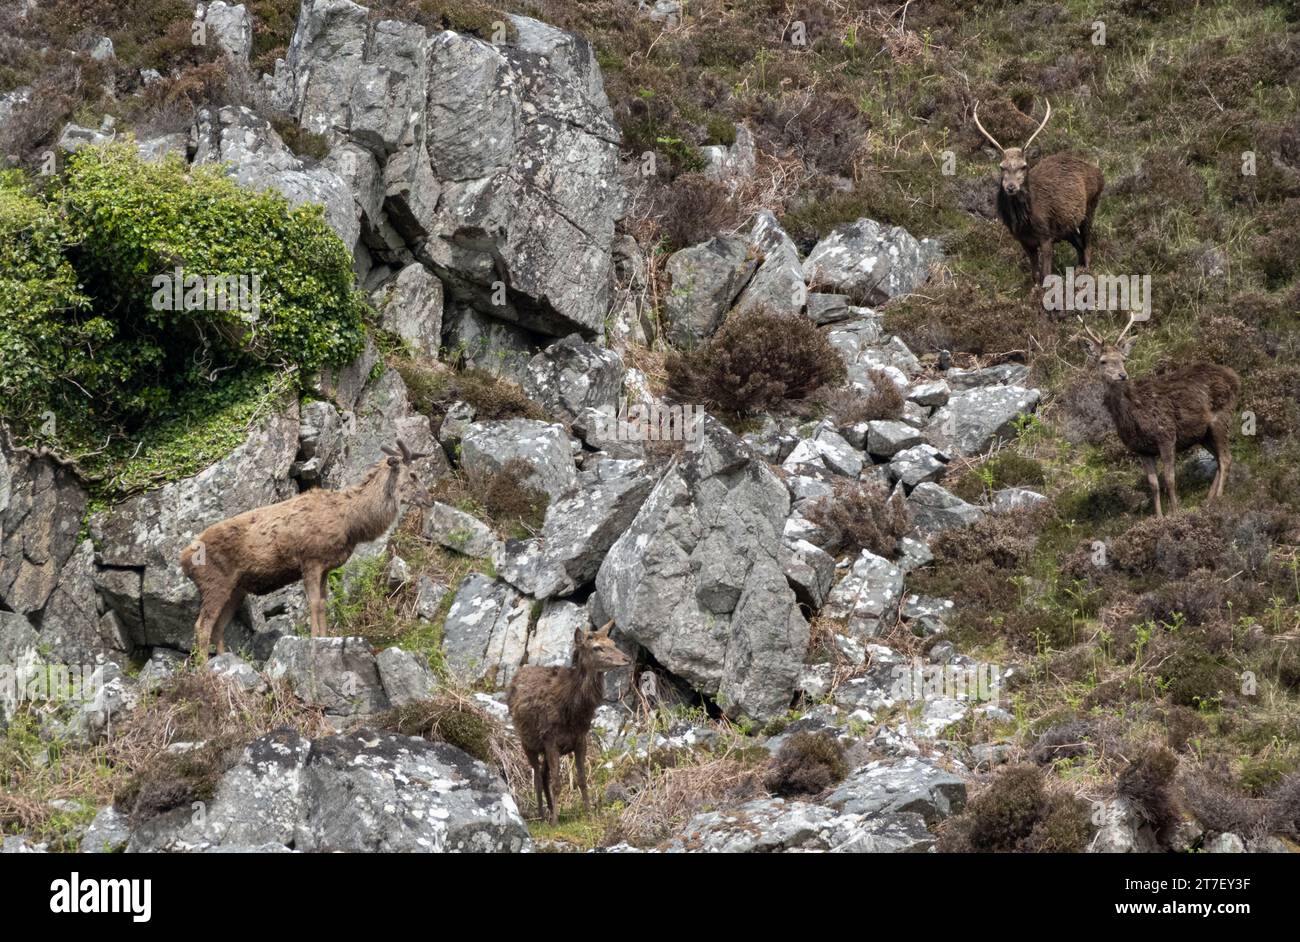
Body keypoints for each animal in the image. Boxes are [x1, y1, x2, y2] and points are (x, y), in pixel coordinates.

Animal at [180, 439, 434, 659]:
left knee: (218, 627)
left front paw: (326, 636)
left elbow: (323, 603)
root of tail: (183, 560)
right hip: (214, 582)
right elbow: (314, 603)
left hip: (236, 589)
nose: (430, 499)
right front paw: (314, 638)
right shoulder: (310, 559)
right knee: (202, 626)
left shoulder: (326, 567)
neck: (350, 522)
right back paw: (205, 668)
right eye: (413, 475)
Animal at [506, 622, 630, 823]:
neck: (573, 711)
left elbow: (582, 780)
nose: (626, 659)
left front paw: (589, 814)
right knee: (537, 777)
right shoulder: (550, 739)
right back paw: (542, 815)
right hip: (527, 742)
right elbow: (557, 783)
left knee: (544, 774)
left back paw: (550, 809)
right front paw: (555, 822)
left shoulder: (580, 739)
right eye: (597, 647)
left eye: (612, 642)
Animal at [973, 99, 1105, 289]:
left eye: (1024, 166)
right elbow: (1035, 274)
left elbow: (1046, 274)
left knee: (1087, 245)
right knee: (1079, 245)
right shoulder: (1024, 240)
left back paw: (1086, 274)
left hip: (1091, 206)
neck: (1026, 222)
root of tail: (1098, 171)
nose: (1011, 187)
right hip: (1066, 227)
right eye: (1001, 167)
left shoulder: (1046, 236)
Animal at [1079, 313, 1240, 517]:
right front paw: (1159, 516)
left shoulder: (1167, 435)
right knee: (1219, 458)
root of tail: (1235, 377)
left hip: (1221, 416)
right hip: (1202, 434)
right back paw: (1208, 500)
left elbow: (1170, 479)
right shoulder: (1141, 449)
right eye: (1103, 361)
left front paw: (1176, 512)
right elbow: (1153, 485)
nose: (1122, 375)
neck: (1134, 417)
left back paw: (1217, 500)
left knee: (1226, 458)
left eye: (1123, 359)